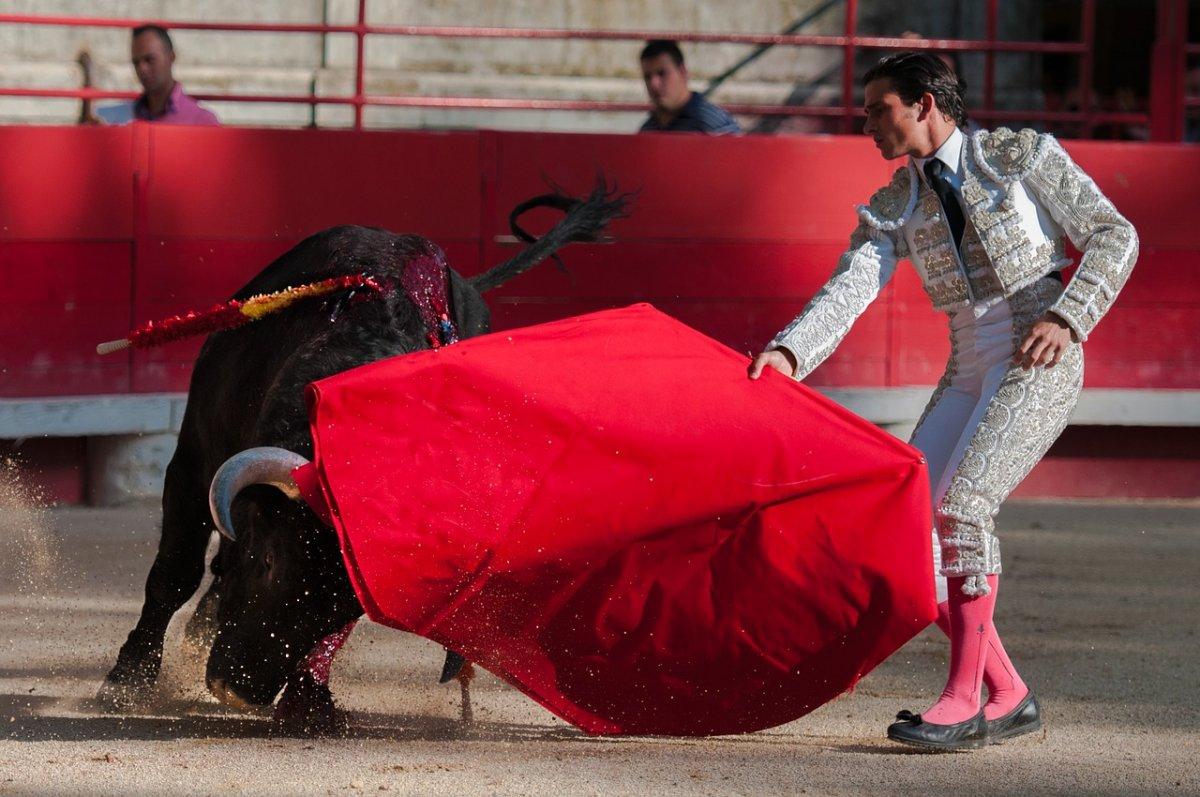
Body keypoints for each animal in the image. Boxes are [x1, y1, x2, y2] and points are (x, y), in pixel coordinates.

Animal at [100, 183, 628, 729]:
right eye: (268, 561)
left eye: (346, 611)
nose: (240, 690)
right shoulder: (191, 462)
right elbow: (174, 572)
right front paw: (127, 681)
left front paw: (309, 700)